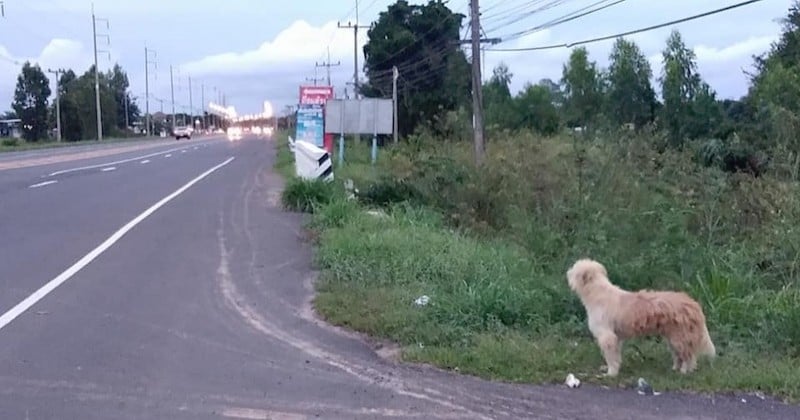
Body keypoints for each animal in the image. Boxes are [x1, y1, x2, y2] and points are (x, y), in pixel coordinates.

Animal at [564, 260, 716, 378]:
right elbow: (616, 356)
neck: (598, 293)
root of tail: (693, 304)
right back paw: (675, 369)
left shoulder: (607, 337)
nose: (567, 271)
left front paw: (611, 373)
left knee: (689, 356)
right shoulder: (617, 338)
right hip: (673, 338)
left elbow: (610, 357)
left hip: (680, 338)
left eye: (574, 269)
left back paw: (684, 371)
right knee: (681, 355)